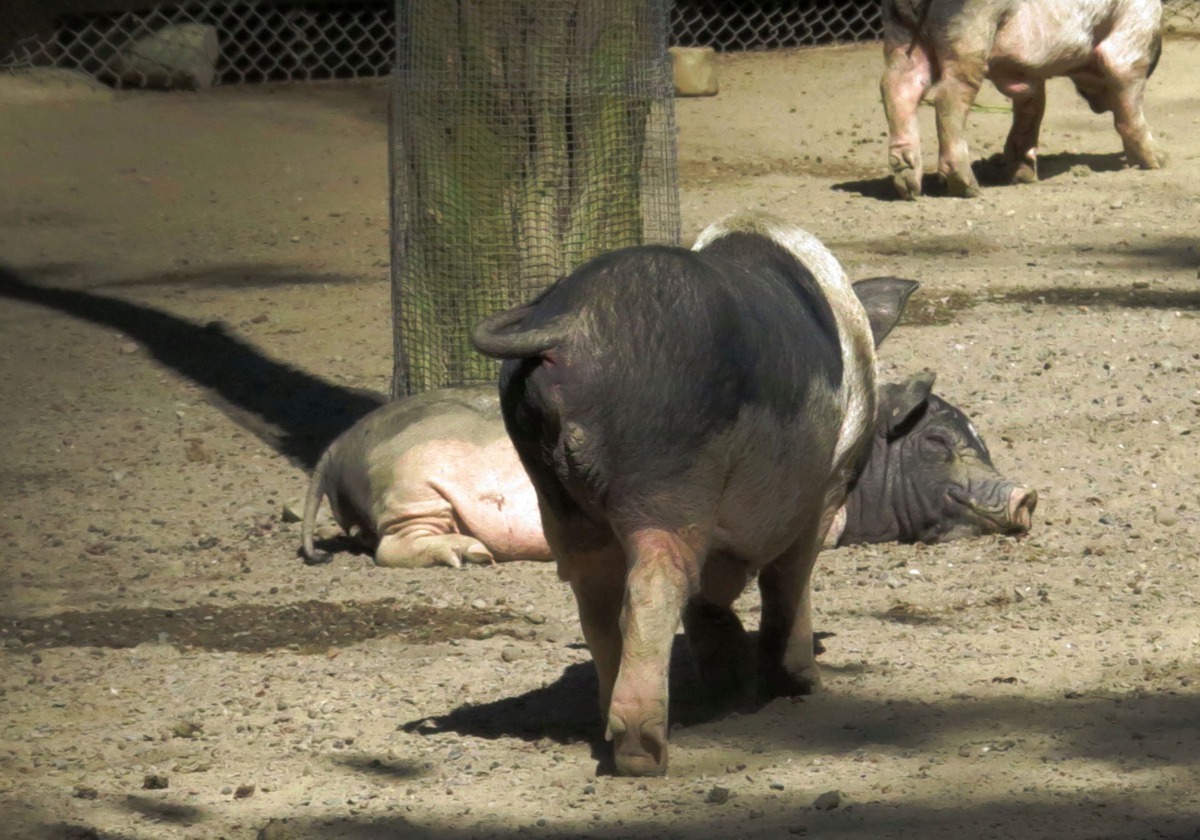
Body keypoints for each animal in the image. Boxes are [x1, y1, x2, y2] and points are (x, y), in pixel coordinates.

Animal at [297, 376, 1032, 568]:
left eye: (980, 437)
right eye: (936, 440)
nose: (1027, 493)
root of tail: (335, 448)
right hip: (409, 483)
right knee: (391, 545)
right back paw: (466, 556)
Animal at [463, 208, 912, 772]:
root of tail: (570, 325)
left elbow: (714, 596)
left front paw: (731, 687)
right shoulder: (828, 481)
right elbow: (789, 578)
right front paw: (801, 684)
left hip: (553, 489)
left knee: (597, 596)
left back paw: (613, 730)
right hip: (668, 474)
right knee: (656, 581)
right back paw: (644, 755)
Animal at [883, 0, 1161, 199]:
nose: (1099, 107)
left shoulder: (1029, 74)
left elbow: (1031, 111)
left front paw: (1023, 177)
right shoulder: (1132, 35)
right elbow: (1127, 99)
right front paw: (1158, 162)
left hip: (901, 35)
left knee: (896, 87)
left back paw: (908, 186)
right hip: (969, 35)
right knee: (948, 97)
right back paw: (968, 187)